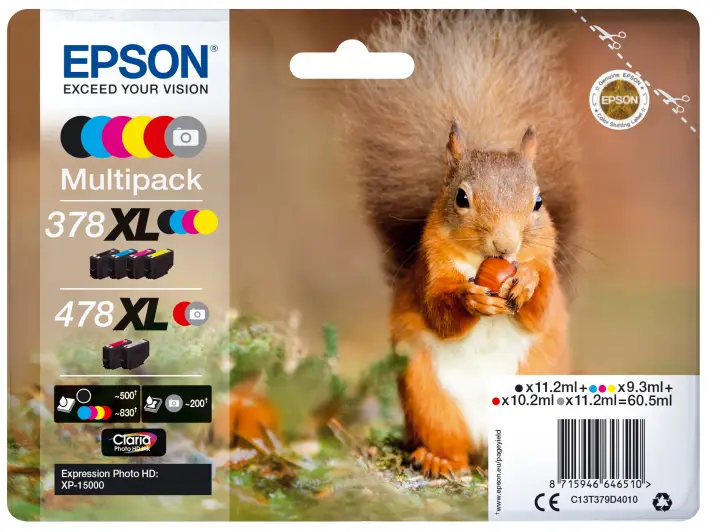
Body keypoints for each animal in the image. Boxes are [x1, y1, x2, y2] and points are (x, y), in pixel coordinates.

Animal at [343, 11, 581, 477]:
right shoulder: (429, 270)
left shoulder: (548, 270)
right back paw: (439, 459)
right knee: (449, 441)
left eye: (538, 202)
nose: (506, 245)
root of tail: (487, 445)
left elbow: (541, 310)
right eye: (461, 198)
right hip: (427, 397)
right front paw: (471, 300)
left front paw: (526, 281)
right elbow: (439, 311)